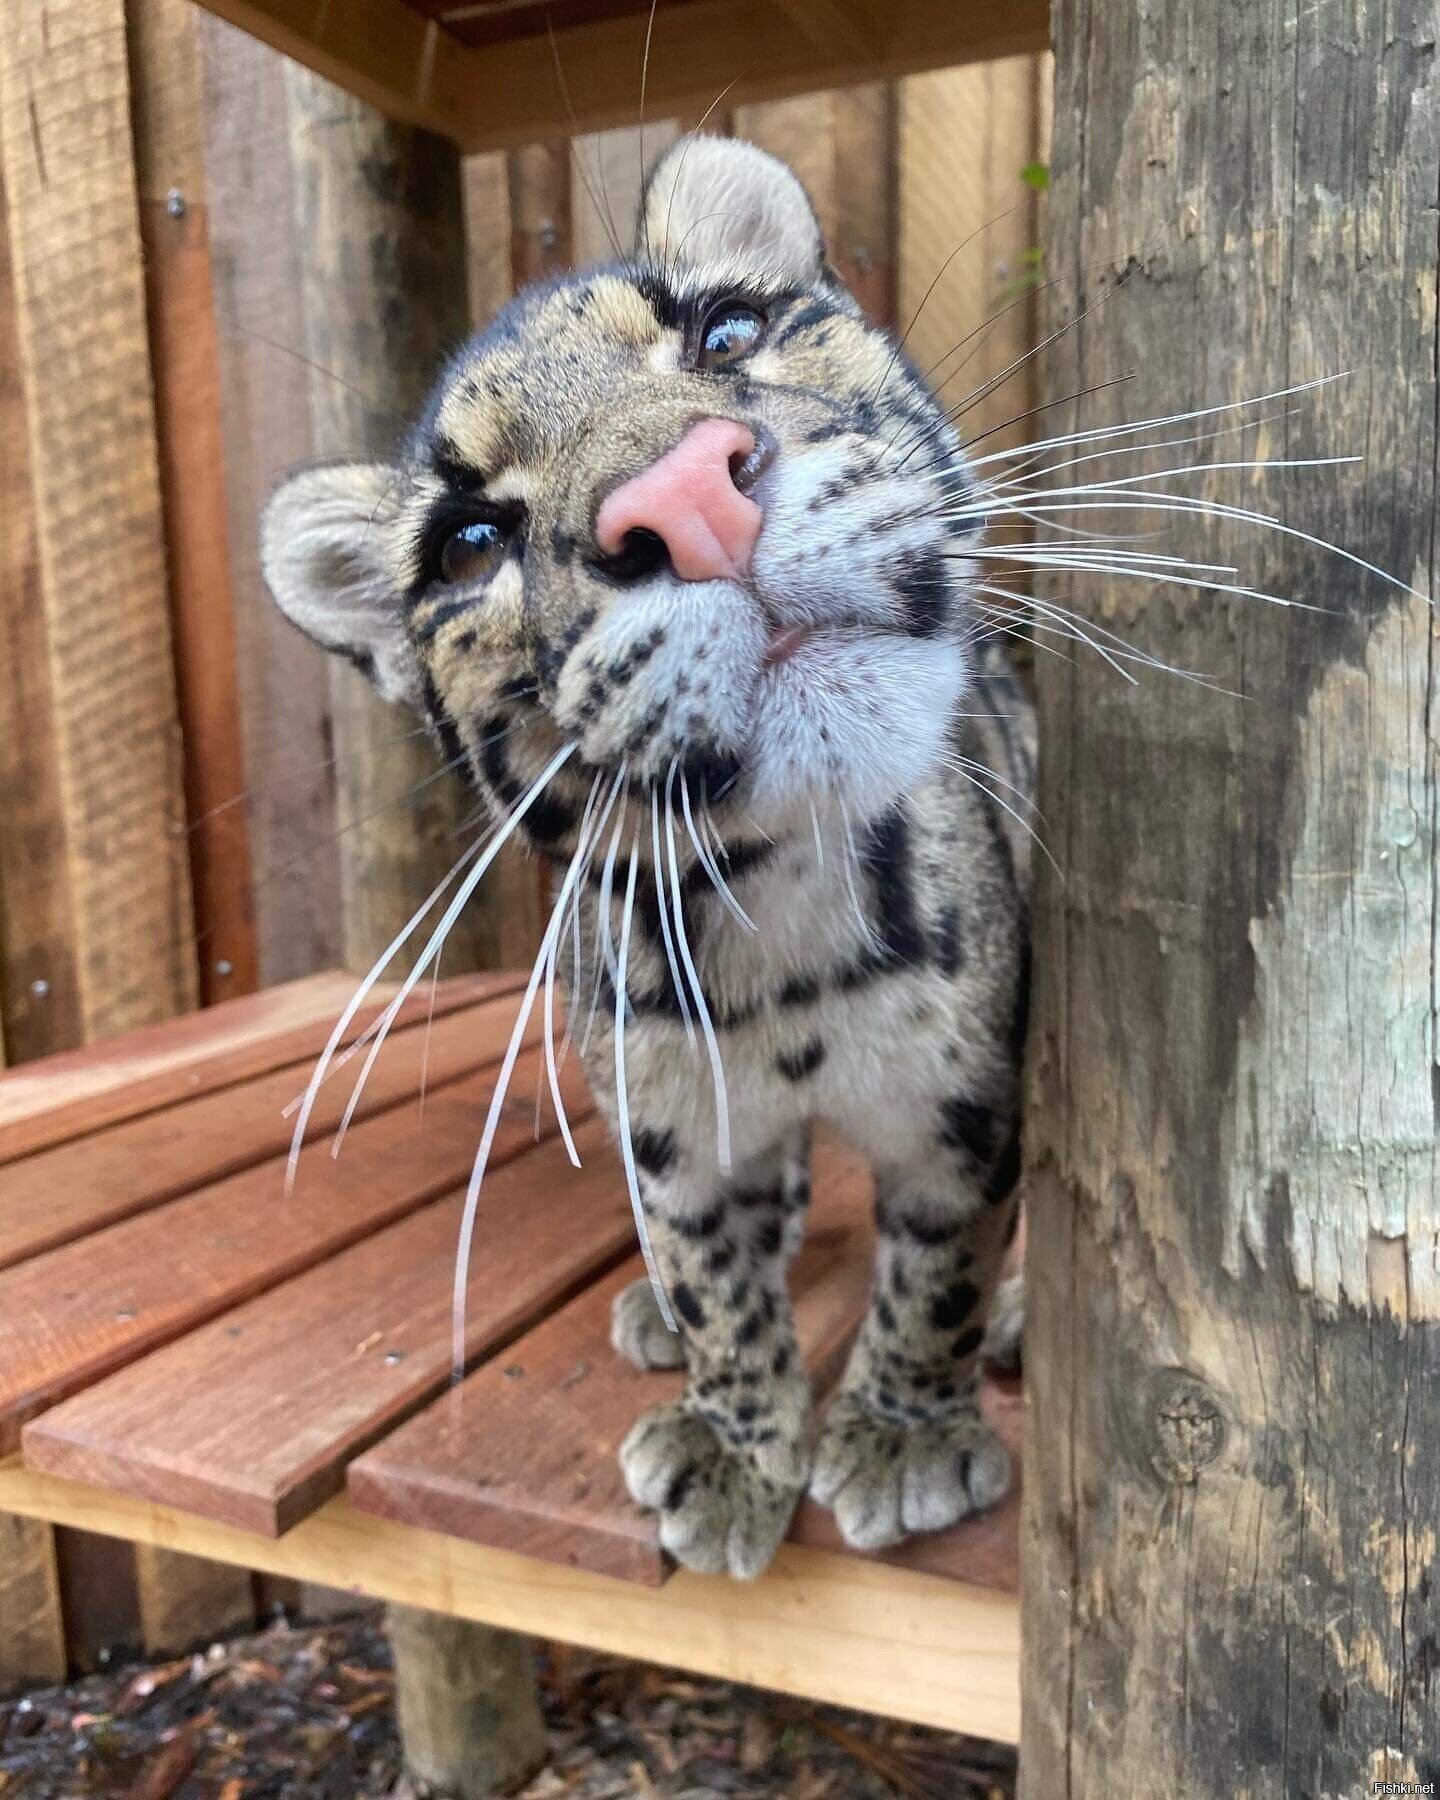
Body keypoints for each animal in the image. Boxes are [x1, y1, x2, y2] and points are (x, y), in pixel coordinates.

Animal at [261, 134, 1034, 1580]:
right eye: (468, 542)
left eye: (727, 330)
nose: (679, 499)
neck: (782, 912)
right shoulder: (668, 1126)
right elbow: (712, 1270)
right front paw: (732, 1437)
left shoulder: (972, 1109)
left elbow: (940, 1267)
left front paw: (902, 1430)